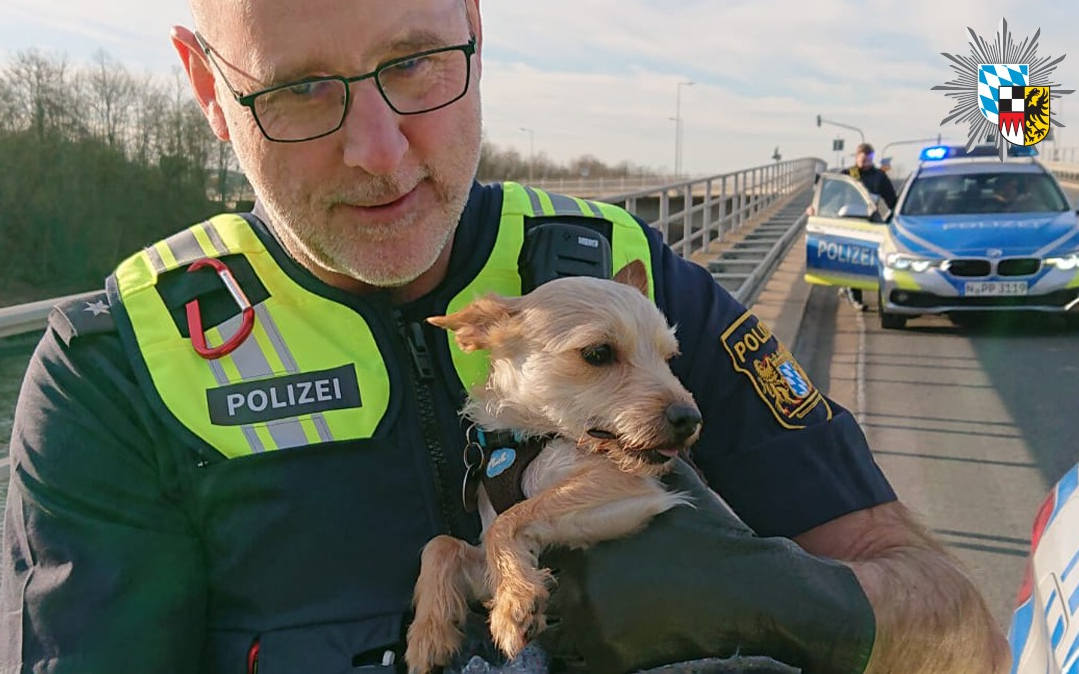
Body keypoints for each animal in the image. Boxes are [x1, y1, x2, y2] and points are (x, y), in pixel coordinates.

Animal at [405, 259, 699, 668]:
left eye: (668, 359)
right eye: (598, 353)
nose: (690, 418)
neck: (529, 437)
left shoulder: (628, 488)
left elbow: (512, 519)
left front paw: (513, 599)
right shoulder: (482, 570)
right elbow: (441, 544)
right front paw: (429, 632)